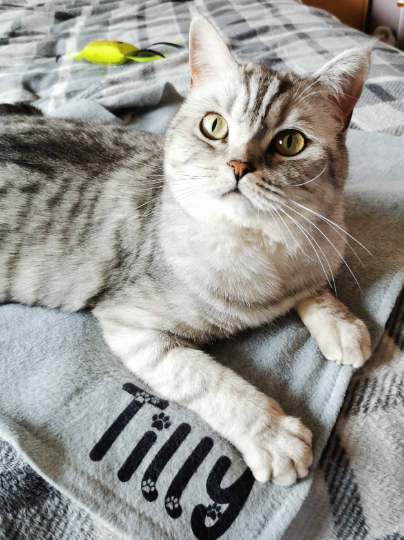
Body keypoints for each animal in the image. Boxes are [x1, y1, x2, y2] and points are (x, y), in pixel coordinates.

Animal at [0, 12, 372, 486]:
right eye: (214, 126)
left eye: (290, 143)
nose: (239, 166)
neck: (259, 251)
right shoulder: (134, 327)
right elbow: (209, 380)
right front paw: (272, 435)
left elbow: (313, 286)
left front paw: (341, 323)